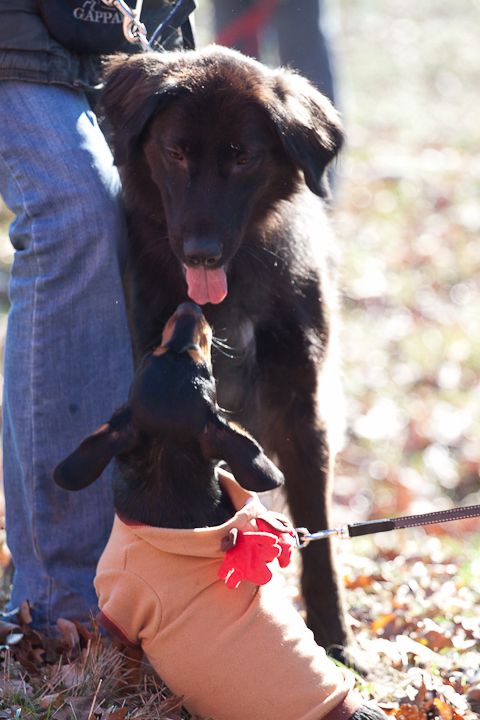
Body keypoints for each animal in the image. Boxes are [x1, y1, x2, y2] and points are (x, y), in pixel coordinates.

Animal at [55, 304, 386, 720]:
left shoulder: (122, 612)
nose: (189, 308)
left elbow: (124, 662)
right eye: (156, 355)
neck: (170, 484)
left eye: (199, 361)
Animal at [102, 42, 348, 656]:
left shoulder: (302, 410)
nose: (201, 253)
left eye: (243, 159)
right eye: (175, 153)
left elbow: (317, 530)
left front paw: (333, 639)